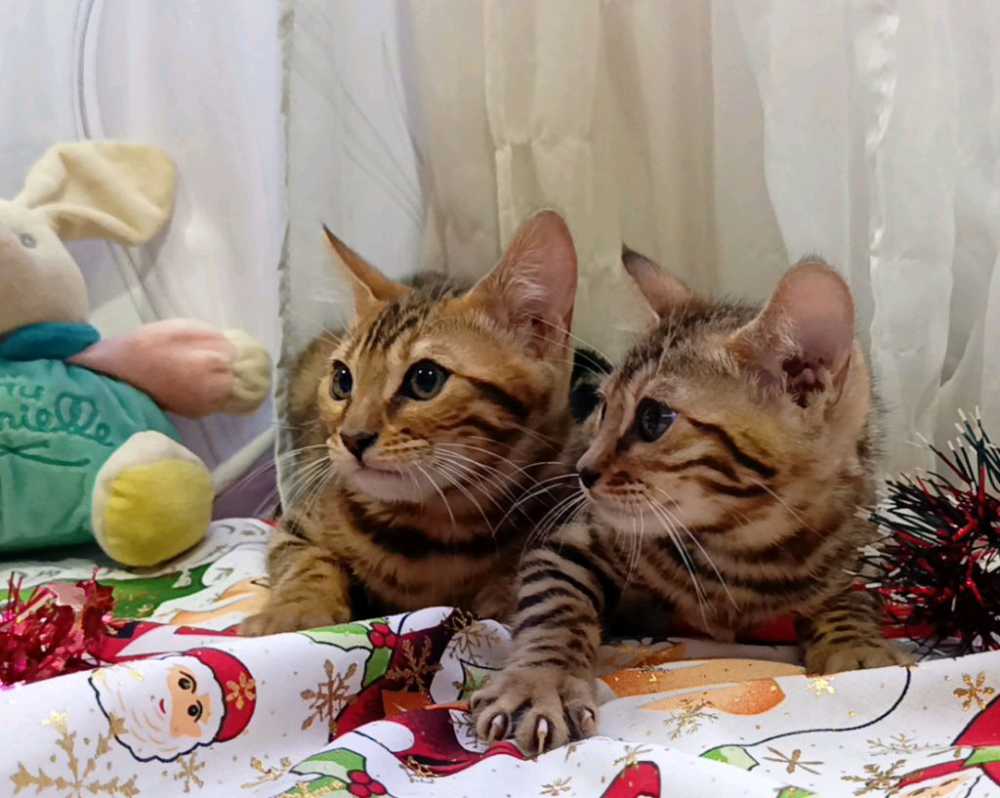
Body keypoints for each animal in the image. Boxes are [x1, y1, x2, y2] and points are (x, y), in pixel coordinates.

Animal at [242, 211, 580, 636]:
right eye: (341, 380)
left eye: (425, 379)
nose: (352, 437)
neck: (434, 535)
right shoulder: (296, 525)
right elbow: (308, 561)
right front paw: (295, 610)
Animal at [471, 250, 910, 753]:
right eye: (603, 407)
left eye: (653, 419)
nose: (584, 470)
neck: (743, 552)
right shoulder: (574, 540)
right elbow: (554, 605)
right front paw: (542, 682)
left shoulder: (859, 554)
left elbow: (851, 597)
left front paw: (858, 648)